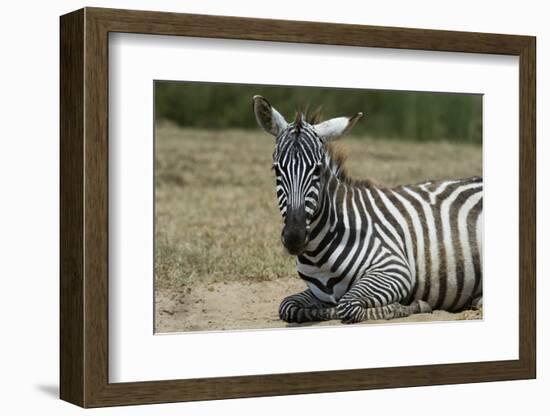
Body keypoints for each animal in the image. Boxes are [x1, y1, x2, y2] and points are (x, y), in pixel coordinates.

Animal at [252, 96, 486, 324]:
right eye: (276, 169)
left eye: (317, 170)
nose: (294, 237)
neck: (319, 254)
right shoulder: (318, 292)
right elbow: (288, 306)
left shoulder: (395, 269)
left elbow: (346, 306)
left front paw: (412, 306)